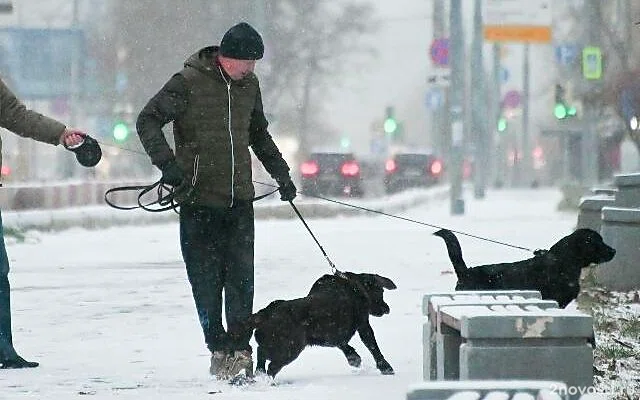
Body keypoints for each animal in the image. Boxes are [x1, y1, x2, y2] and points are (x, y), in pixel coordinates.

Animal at [245, 272, 396, 378]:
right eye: (381, 291)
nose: (387, 309)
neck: (354, 285)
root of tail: (266, 313)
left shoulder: (333, 333)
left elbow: (342, 343)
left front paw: (353, 358)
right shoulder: (363, 325)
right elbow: (373, 347)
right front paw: (386, 367)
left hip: (274, 346)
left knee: (260, 353)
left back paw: (259, 373)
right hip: (290, 349)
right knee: (271, 366)